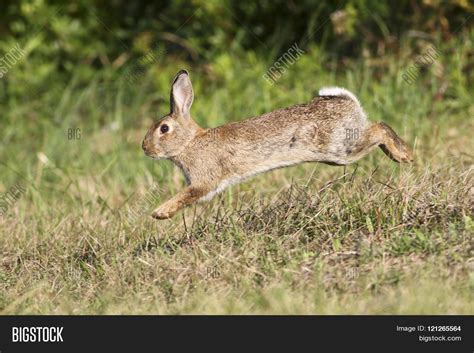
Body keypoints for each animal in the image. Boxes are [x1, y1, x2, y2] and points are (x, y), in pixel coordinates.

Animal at [141, 69, 412, 219]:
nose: (145, 148)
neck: (189, 142)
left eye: (164, 129)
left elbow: (186, 195)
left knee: (379, 128)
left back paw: (403, 155)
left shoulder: (203, 180)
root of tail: (348, 102)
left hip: (341, 149)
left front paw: (160, 212)